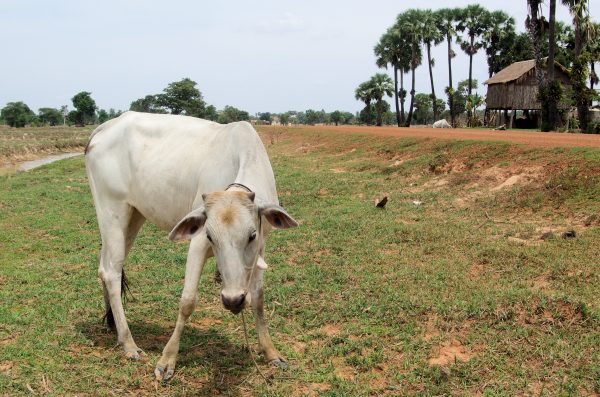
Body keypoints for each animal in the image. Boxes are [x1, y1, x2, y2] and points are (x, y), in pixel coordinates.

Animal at [85, 111, 298, 380]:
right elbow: (187, 301)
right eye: (210, 237)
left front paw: (271, 352)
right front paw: (167, 361)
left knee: (105, 266)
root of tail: (104, 127)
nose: (232, 300)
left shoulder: (261, 246)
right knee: (112, 272)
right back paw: (128, 343)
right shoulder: (197, 243)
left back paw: (113, 325)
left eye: (251, 235)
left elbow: (258, 298)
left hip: (133, 216)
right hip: (111, 210)